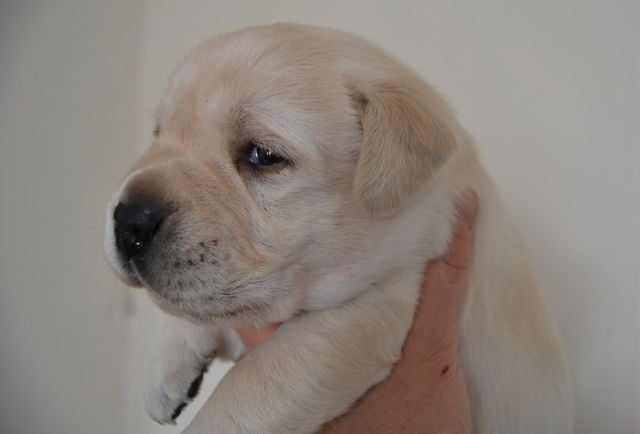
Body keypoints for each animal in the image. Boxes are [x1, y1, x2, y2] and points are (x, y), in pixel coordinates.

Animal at [104, 24, 568, 434]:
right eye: (159, 133)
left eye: (262, 155)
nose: (128, 220)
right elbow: (205, 307)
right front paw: (169, 361)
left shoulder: (374, 307)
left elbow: (252, 382)